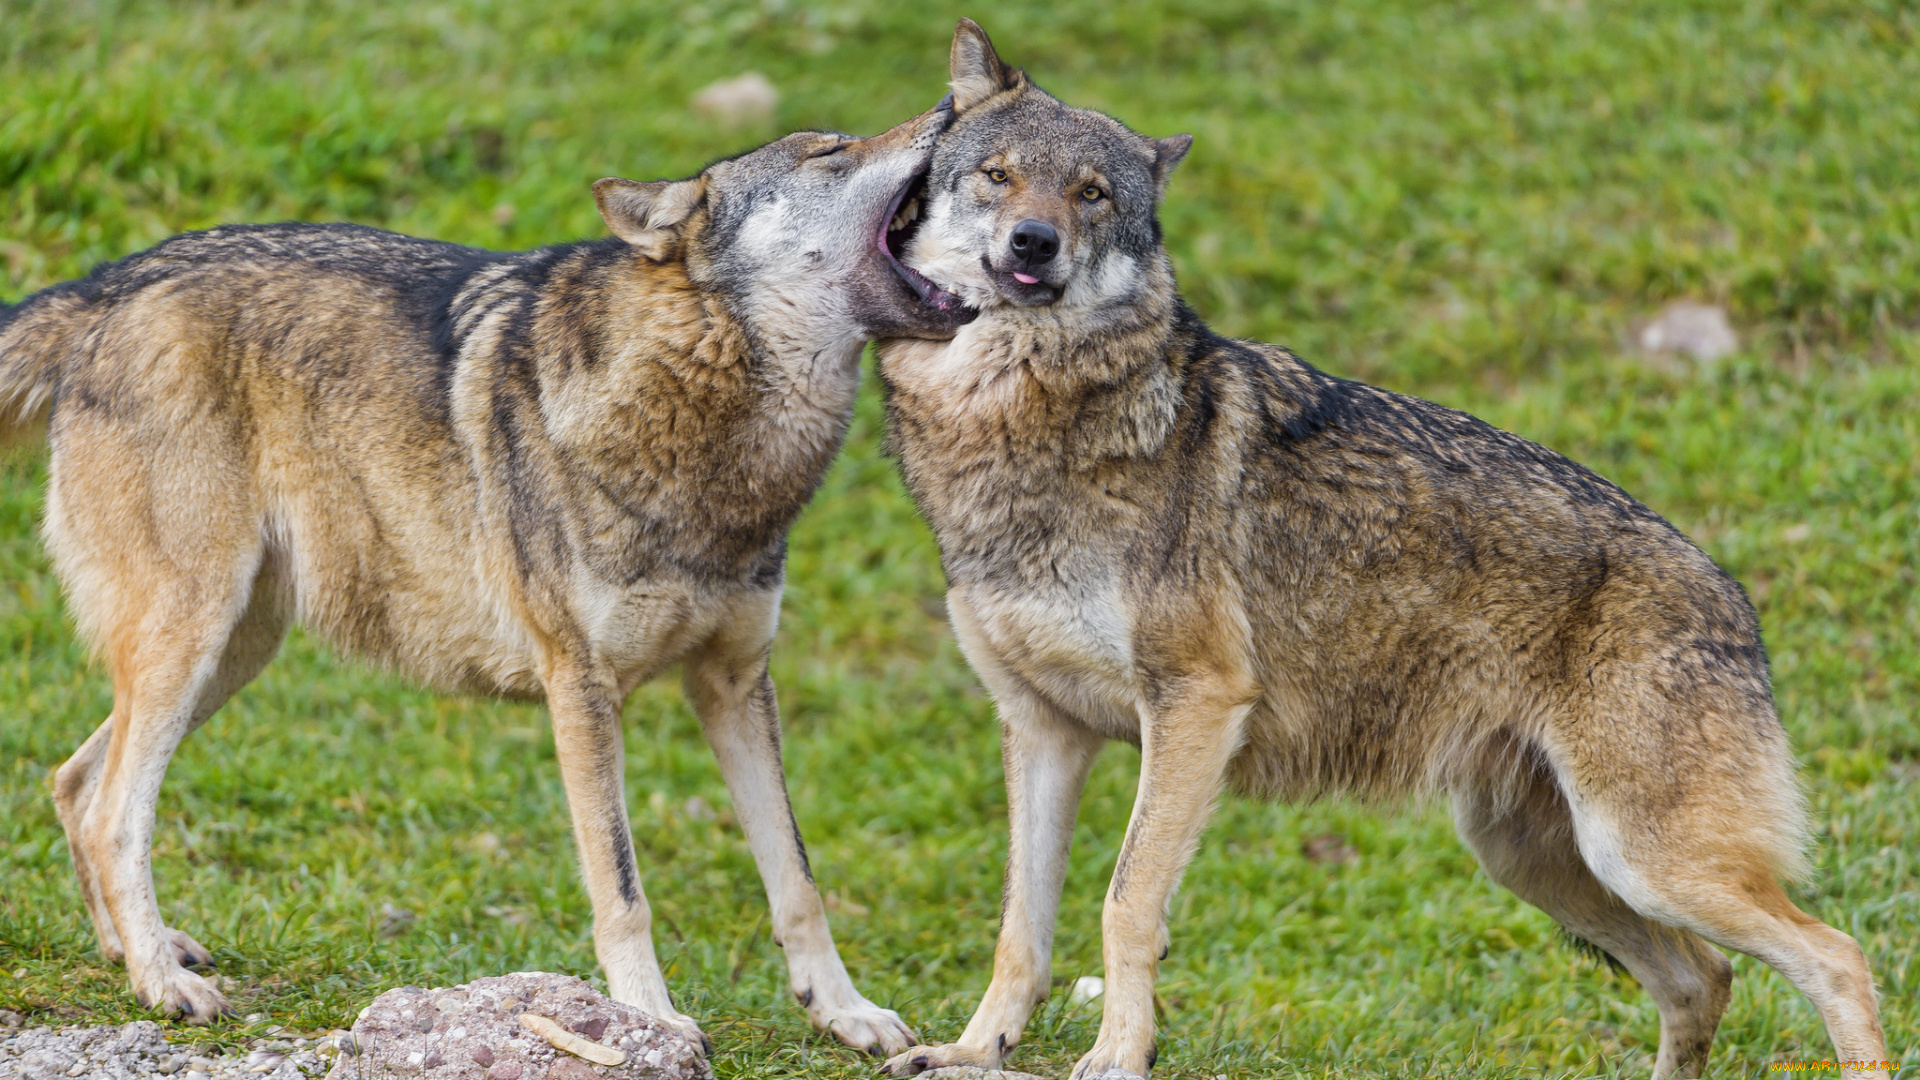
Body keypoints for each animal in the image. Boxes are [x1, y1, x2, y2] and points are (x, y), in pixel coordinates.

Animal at [0, 102, 975, 1053]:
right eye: (830, 152)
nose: (949, 106)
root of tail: (108, 283)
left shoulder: (734, 682)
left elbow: (798, 881)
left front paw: (845, 1012)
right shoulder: (581, 689)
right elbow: (623, 888)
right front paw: (650, 1019)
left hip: (234, 651)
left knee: (74, 782)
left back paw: (140, 953)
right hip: (193, 640)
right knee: (116, 812)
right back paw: (164, 985)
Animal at [875, 18, 1889, 1076]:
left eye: (1091, 195)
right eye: (997, 176)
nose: (1033, 242)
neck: (1015, 429)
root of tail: (1737, 599)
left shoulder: (1195, 705)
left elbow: (1126, 903)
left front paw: (1117, 1058)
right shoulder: (1042, 729)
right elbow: (1019, 928)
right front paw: (972, 1049)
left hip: (1641, 859)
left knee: (1837, 957)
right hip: (1535, 859)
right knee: (1703, 978)